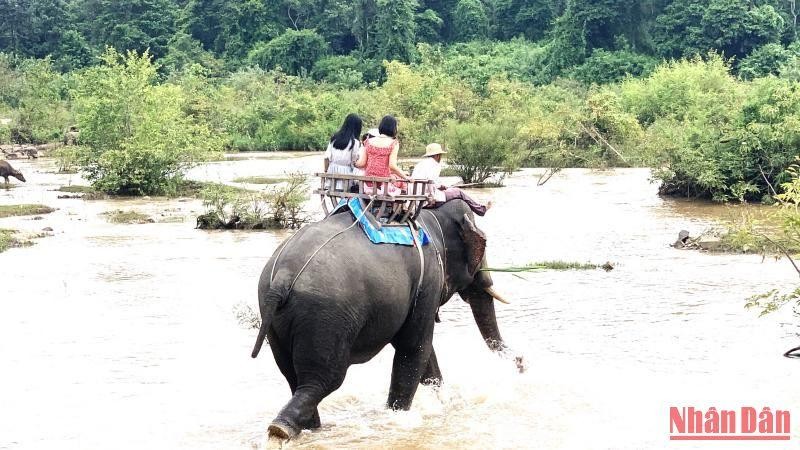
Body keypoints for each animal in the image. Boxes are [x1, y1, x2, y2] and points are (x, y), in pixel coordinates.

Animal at [251, 199, 518, 441]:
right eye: (483, 247)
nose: (521, 363)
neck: (430, 216)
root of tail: (283, 276)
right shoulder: (428, 278)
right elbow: (415, 347)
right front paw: (399, 414)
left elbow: (423, 350)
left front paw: (446, 401)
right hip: (326, 317)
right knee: (322, 381)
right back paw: (281, 430)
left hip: (276, 318)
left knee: (292, 375)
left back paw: (308, 430)